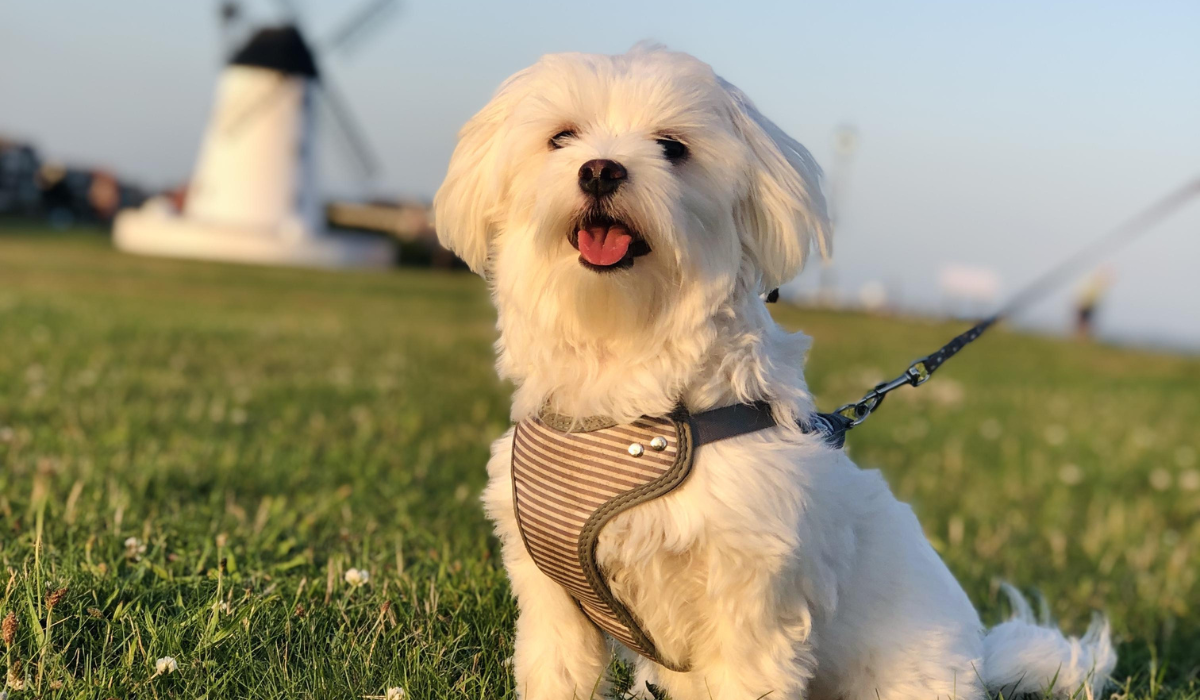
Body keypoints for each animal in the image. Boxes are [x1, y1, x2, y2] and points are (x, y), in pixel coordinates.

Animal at [434, 46, 1113, 696]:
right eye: (562, 137)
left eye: (672, 147)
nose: (600, 169)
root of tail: (979, 662)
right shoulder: (551, 592)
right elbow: (556, 671)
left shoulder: (750, 603)